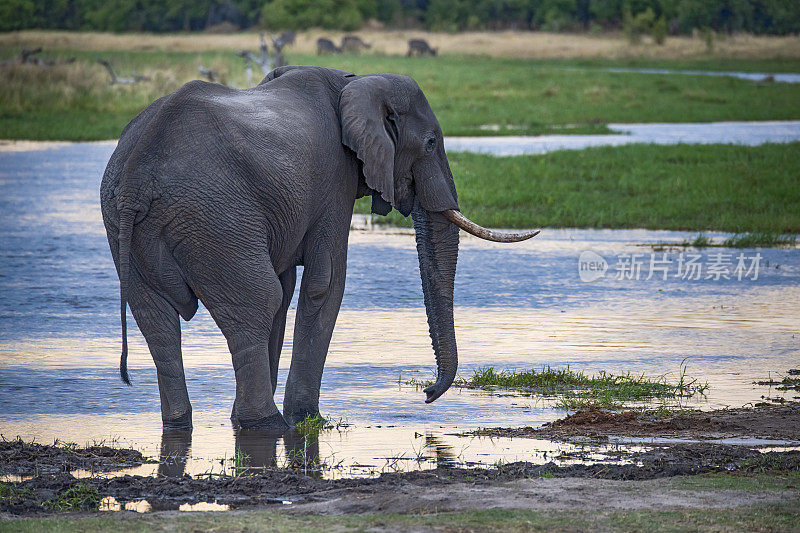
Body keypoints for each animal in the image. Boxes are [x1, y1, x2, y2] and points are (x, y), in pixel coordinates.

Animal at [100, 65, 536, 432]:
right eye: (430, 143)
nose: (427, 394)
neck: (356, 83)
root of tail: (137, 173)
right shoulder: (333, 179)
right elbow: (324, 284)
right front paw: (307, 418)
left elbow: (289, 286)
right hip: (213, 216)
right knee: (255, 300)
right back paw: (266, 424)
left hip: (133, 221)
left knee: (154, 316)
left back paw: (182, 424)